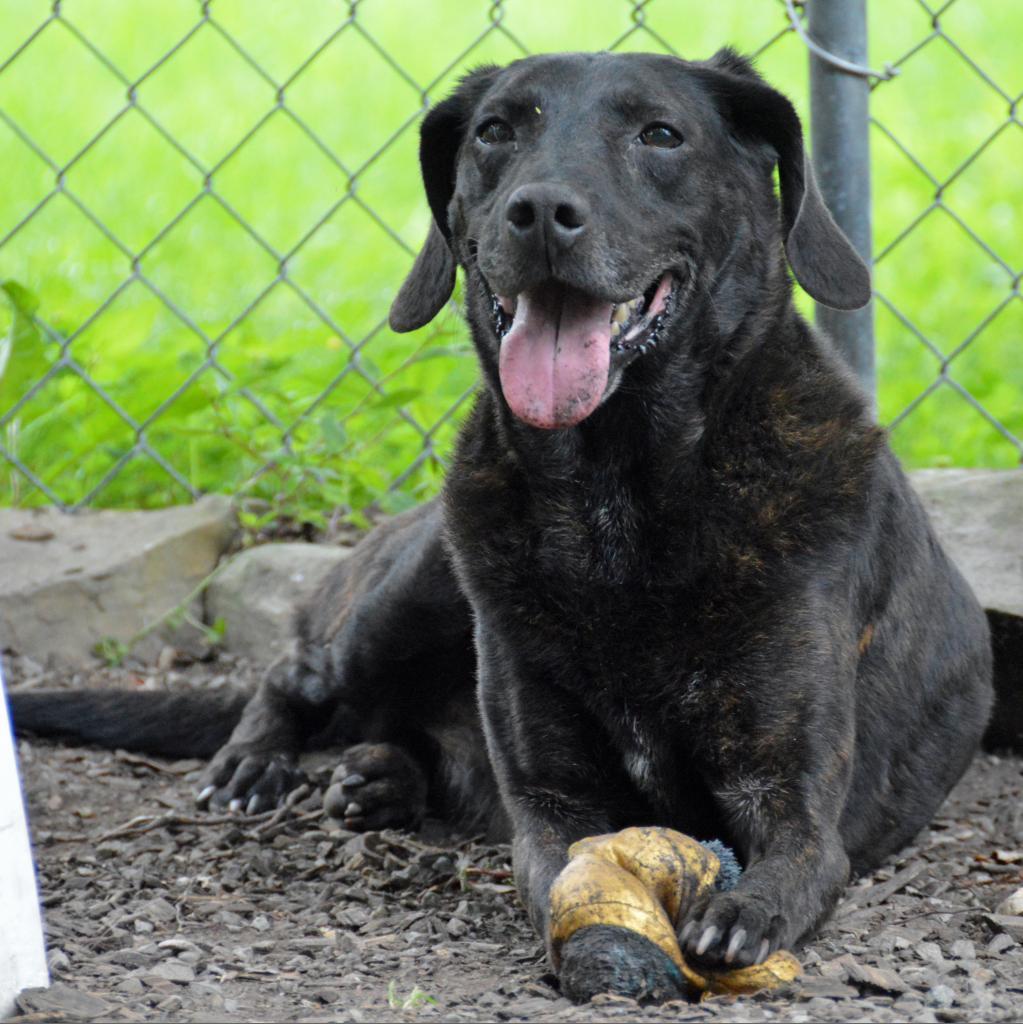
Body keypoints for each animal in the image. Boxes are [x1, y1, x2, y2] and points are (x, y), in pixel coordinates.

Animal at [14, 49, 991, 999]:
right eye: (494, 132)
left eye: (659, 134)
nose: (541, 211)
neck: (615, 501)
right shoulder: (553, 801)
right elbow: (569, 876)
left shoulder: (793, 800)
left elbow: (788, 868)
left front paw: (738, 916)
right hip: (411, 588)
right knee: (293, 675)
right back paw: (259, 764)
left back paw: (379, 777)